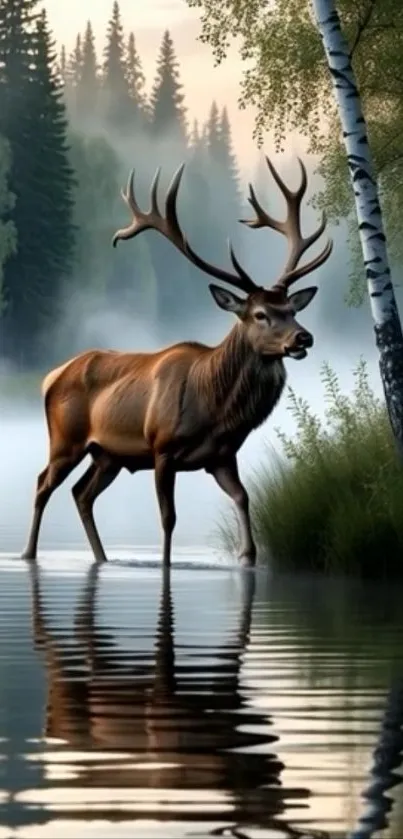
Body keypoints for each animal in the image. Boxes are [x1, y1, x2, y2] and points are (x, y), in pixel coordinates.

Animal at [21, 156, 333, 567]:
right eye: (260, 314)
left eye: (291, 310)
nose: (303, 338)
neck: (217, 410)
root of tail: (51, 376)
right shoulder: (162, 449)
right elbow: (168, 519)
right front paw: (167, 564)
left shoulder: (222, 456)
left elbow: (243, 498)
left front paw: (246, 555)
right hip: (65, 440)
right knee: (44, 484)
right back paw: (27, 553)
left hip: (108, 455)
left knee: (81, 494)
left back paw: (103, 559)